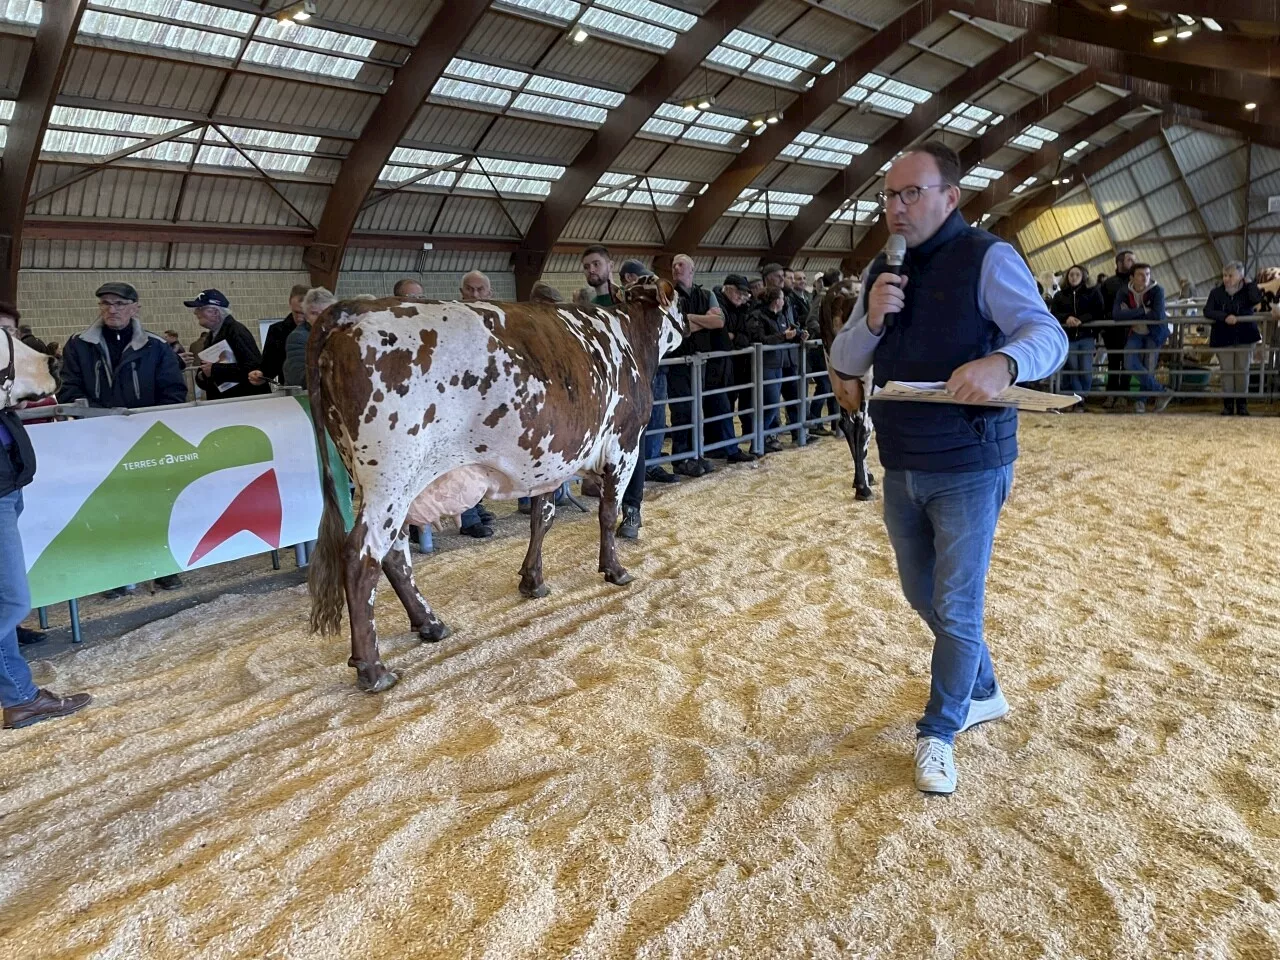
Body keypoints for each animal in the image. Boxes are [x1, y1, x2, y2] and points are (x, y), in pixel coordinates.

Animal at [304, 277, 686, 691]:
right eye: (681, 299)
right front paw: (614, 570)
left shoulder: (549, 460)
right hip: (391, 480)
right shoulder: (624, 444)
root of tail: (351, 309)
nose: (689, 320)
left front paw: (533, 581)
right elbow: (607, 513)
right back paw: (373, 669)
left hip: (394, 484)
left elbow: (542, 518)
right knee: (362, 556)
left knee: (394, 553)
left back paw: (430, 624)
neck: (630, 335)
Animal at [814, 281, 875, 499]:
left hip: (837, 379)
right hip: (867, 381)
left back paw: (861, 480)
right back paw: (864, 488)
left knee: (848, 423)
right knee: (864, 426)